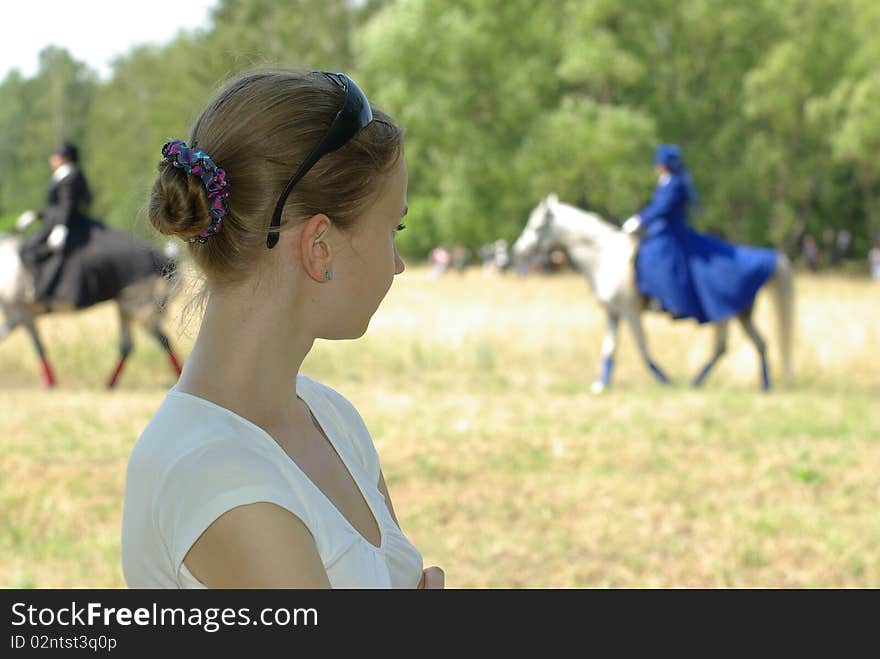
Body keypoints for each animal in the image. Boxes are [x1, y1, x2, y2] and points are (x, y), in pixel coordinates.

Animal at [512, 195, 796, 392]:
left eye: (536, 226)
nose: (518, 250)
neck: (604, 258)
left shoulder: (630, 311)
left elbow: (642, 347)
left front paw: (665, 380)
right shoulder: (613, 312)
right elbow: (609, 348)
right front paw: (601, 384)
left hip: (725, 314)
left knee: (726, 347)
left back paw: (699, 382)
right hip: (740, 315)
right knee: (757, 344)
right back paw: (761, 385)